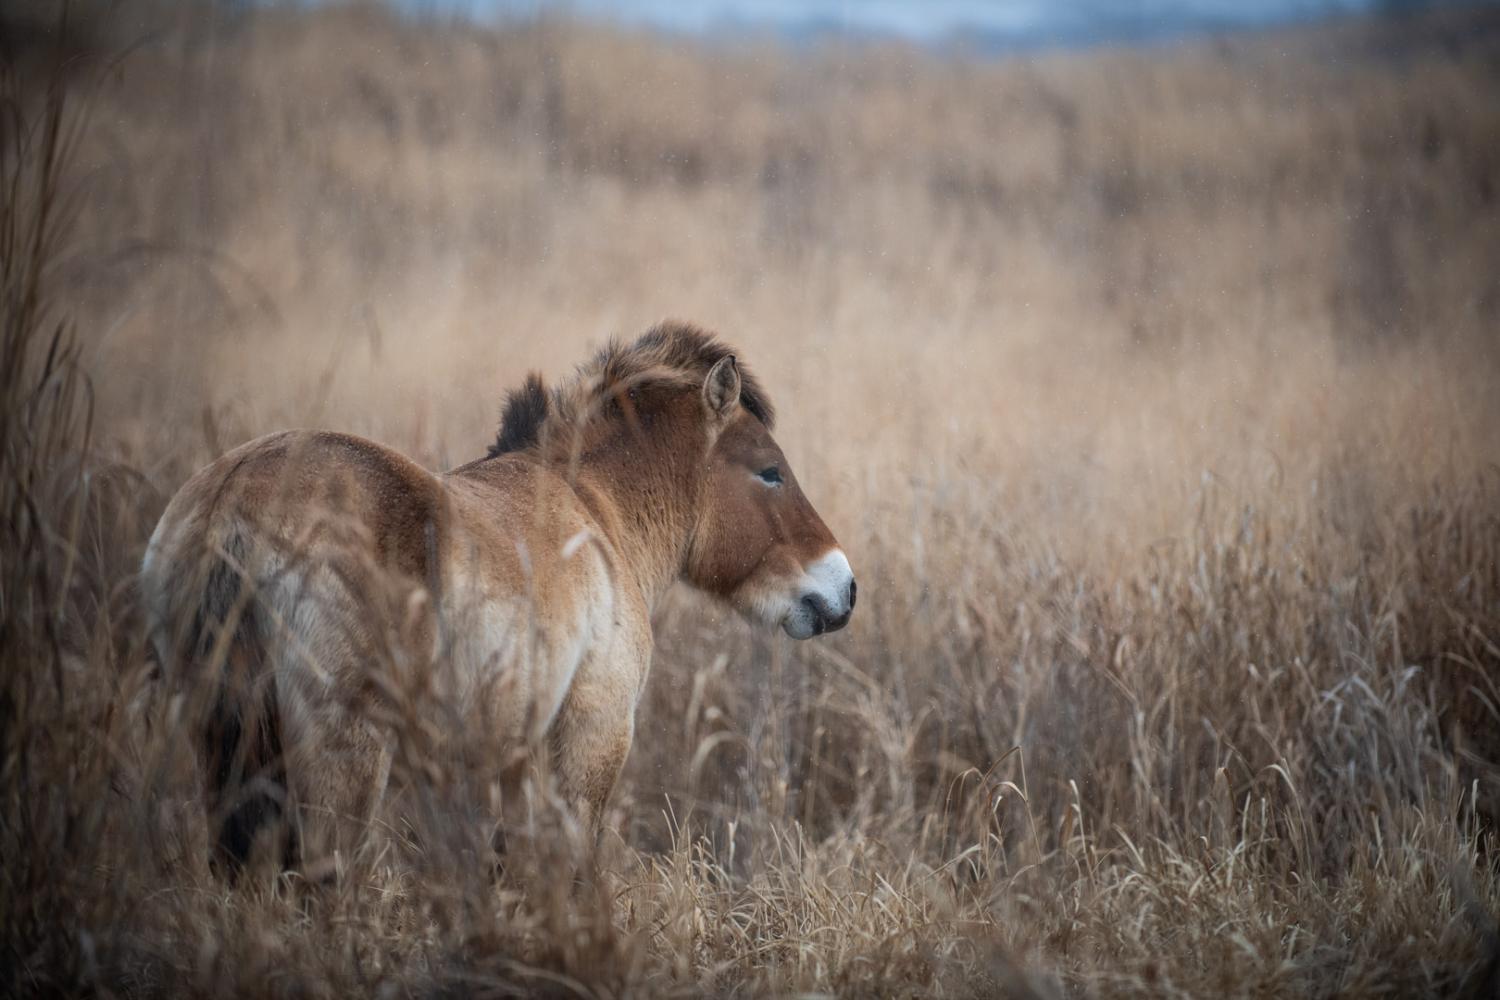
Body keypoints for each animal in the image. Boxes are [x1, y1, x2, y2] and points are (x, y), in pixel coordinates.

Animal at [149, 322, 870, 875]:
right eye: (770, 472)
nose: (843, 587)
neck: (595, 511)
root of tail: (230, 503)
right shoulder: (593, 737)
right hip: (341, 754)